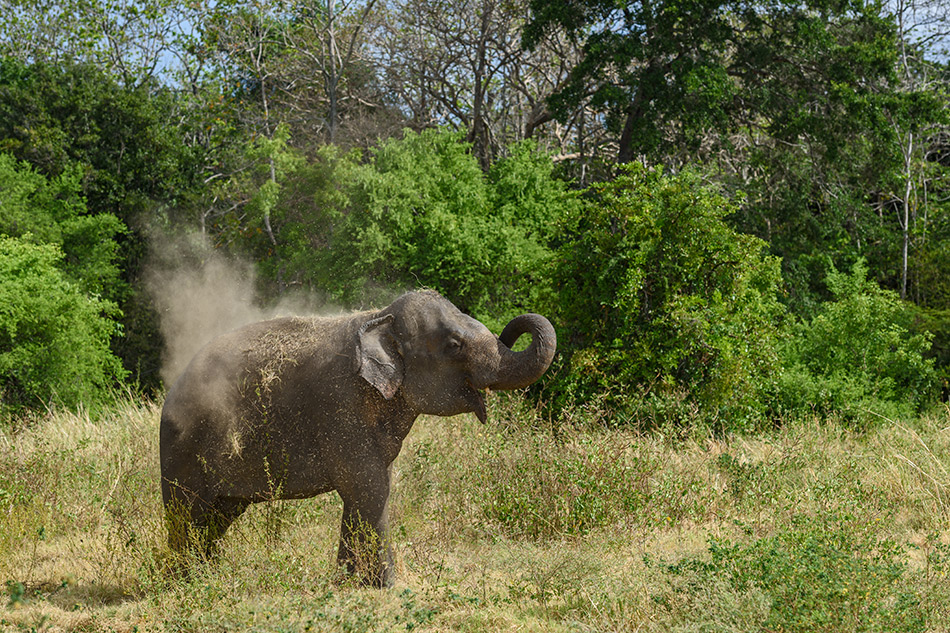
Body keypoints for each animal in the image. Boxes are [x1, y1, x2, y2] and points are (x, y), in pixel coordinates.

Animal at [158, 288, 556, 584]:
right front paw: (385, 586)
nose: (510, 327)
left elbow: (371, 487)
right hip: (183, 448)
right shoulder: (342, 409)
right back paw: (187, 581)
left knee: (218, 515)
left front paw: (349, 584)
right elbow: (370, 487)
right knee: (187, 512)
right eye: (454, 345)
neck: (379, 317)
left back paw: (209, 576)